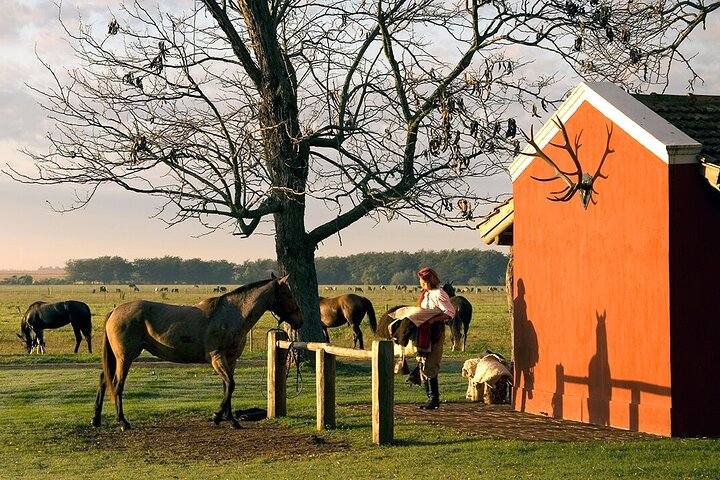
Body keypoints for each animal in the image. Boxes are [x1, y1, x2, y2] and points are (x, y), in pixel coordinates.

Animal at [92, 274, 300, 432]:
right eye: (288, 294)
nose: (300, 319)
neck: (231, 315)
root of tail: (115, 312)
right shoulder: (217, 358)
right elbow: (230, 385)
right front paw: (217, 416)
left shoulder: (231, 360)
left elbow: (228, 387)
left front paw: (231, 420)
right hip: (125, 357)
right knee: (117, 384)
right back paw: (123, 422)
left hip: (118, 358)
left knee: (103, 380)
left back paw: (96, 419)